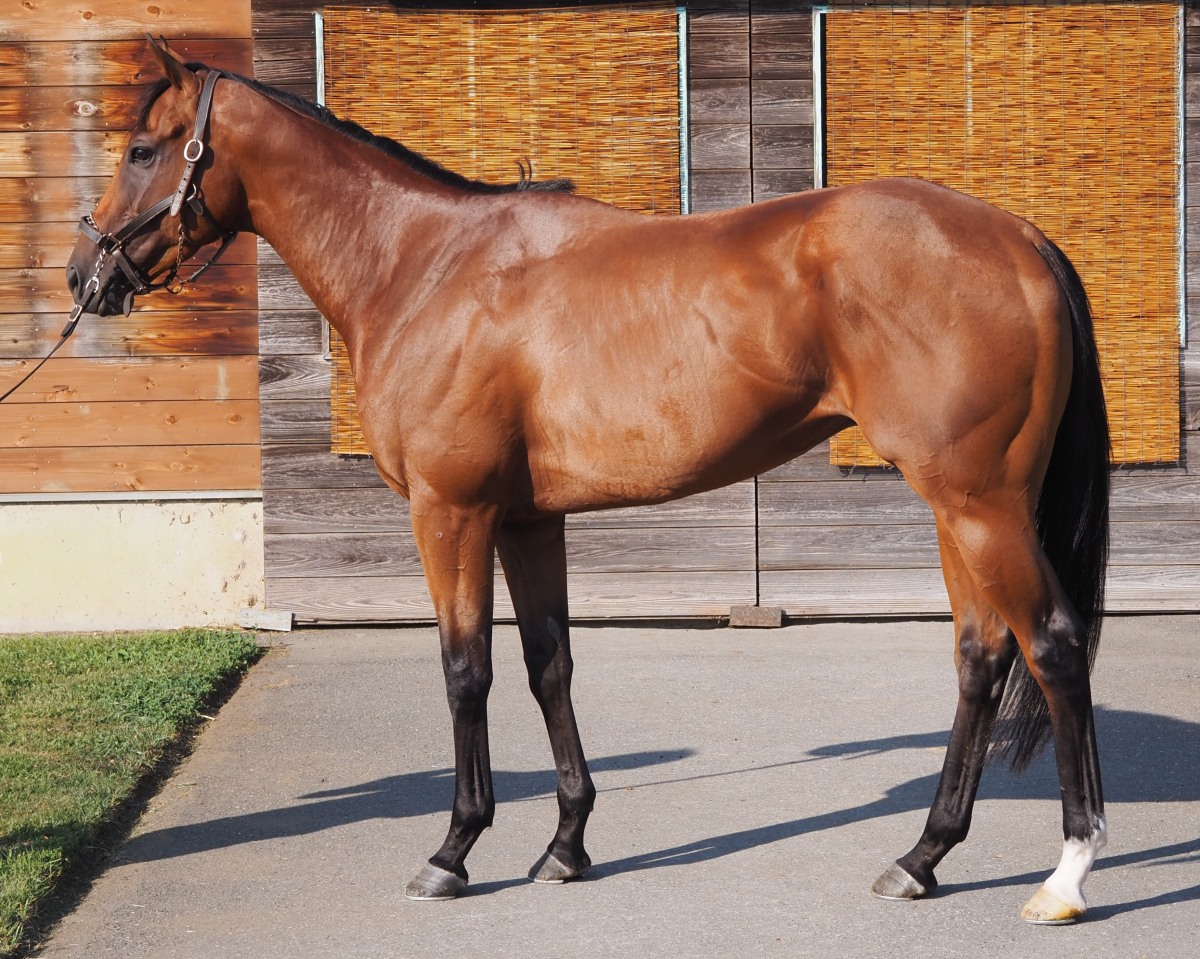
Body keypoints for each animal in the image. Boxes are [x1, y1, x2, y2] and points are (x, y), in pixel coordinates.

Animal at [66, 39, 1110, 924]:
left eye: (143, 149)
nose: (85, 274)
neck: (424, 267)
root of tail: (1018, 235)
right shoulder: (528, 521)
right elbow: (549, 664)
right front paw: (565, 843)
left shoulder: (453, 513)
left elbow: (466, 670)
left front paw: (452, 851)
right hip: (960, 506)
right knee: (981, 656)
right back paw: (921, 856)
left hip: (981, 504)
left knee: (1053, 646)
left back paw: (1065, 875)